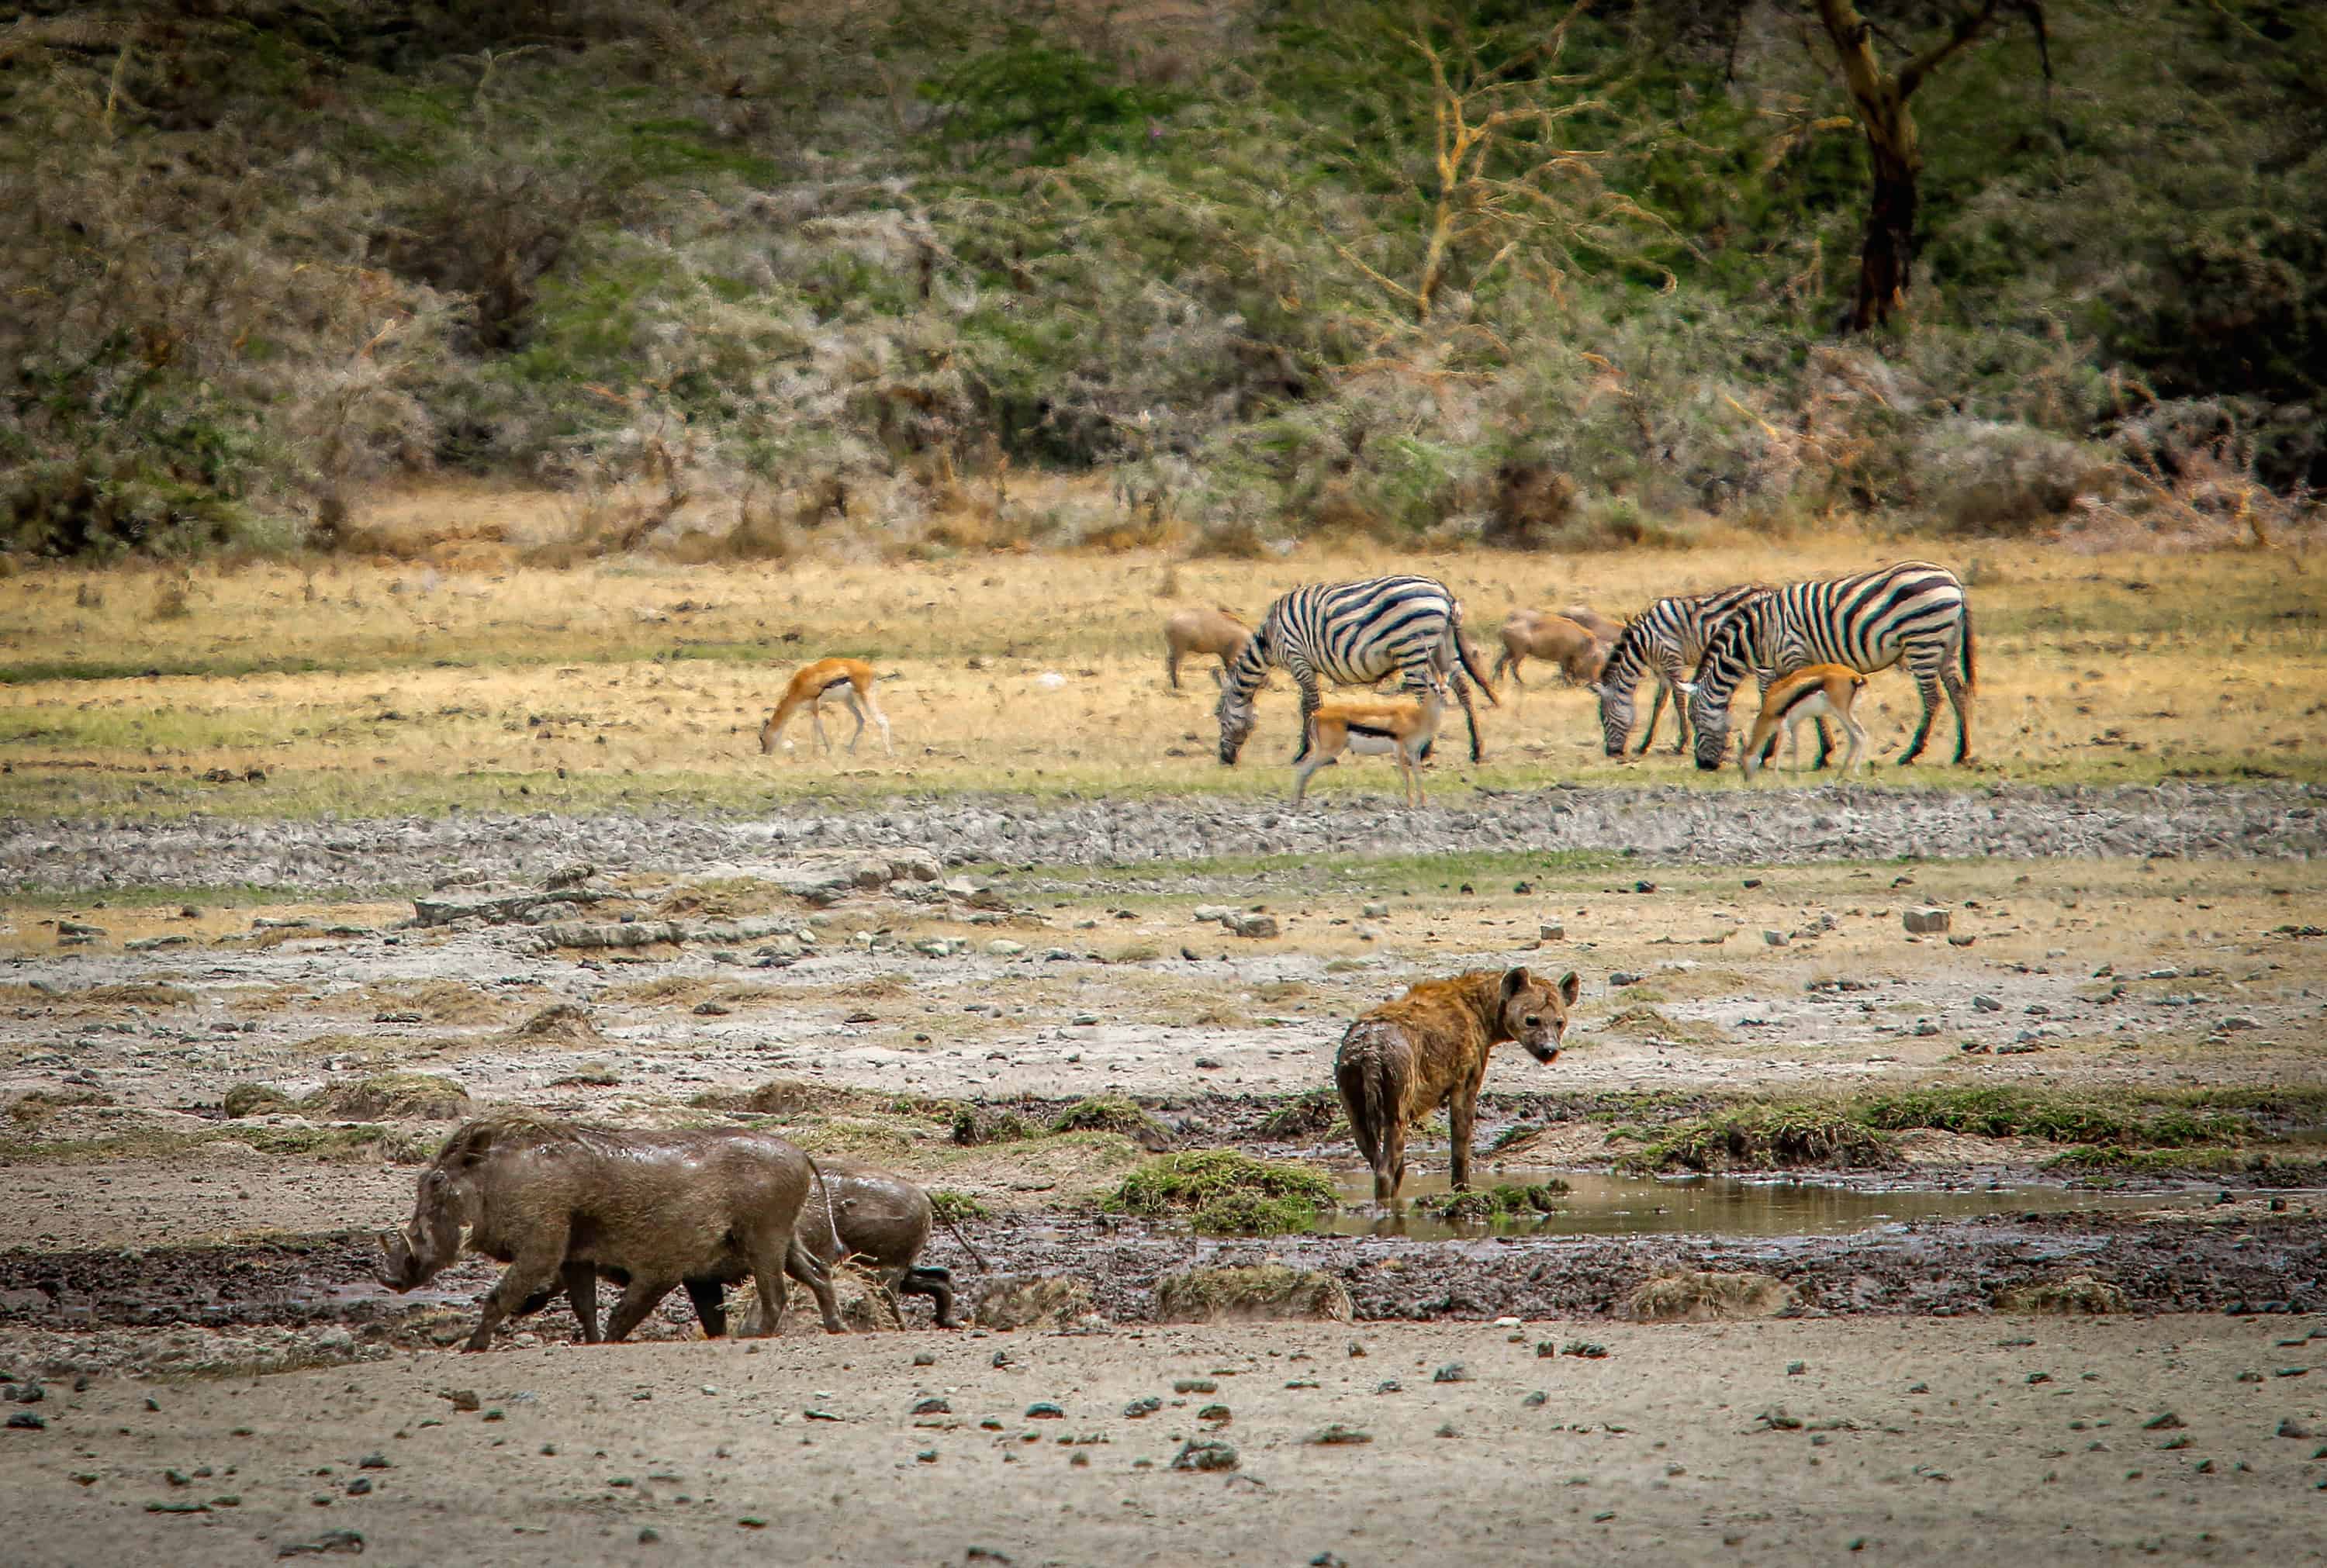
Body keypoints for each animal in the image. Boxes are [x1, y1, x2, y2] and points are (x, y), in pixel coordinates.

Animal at [1210, 577, 1499, 768]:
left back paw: (1425, 751)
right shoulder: (1307, 663)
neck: (1268, 640)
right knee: (1462, 690)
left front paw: (1307, 752)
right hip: (1443, 647)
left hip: (1412, 647)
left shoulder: (1297, 657)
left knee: (1428, 695)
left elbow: (1309, 704)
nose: (1224, 759)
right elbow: (1311, 703)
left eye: (1219, 717)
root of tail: (1444, 592)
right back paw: (1476, 750)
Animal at [1592, 584, 1769, 758]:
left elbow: (1679, 700)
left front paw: (1682, 744)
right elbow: (1659, 704)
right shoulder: (1662, 670)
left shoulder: (1673, 660)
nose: (1611, 754)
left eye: (1605, 720)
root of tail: (1765, 591)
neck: (1644, 643)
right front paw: (1645, 745)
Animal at [1685, 558, 1973, 768]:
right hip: (1946, 644)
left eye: (1695, 719)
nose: (1704, 765)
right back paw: (1961, 753)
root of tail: (1954, 581)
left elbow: (1788, 705)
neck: (1758, 634)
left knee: (1933, 698)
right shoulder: (1780, 667)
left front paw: (1816, 754)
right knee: (1958, 692)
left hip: (1924, 639)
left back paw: (1911, 754)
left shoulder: (1793, 657)